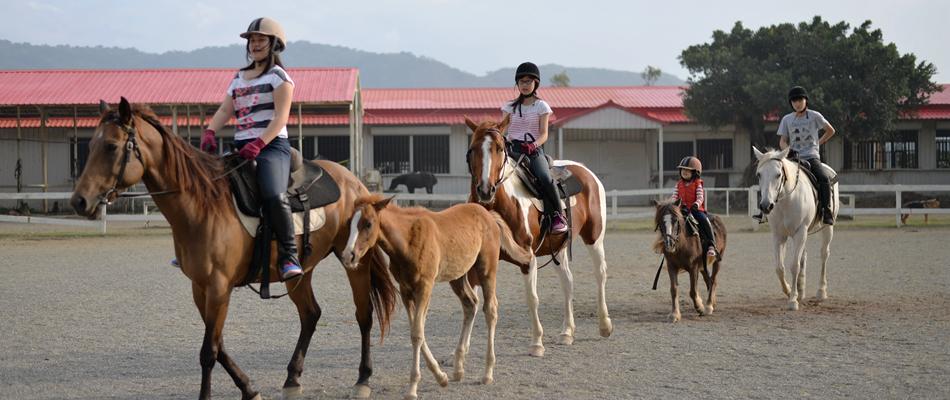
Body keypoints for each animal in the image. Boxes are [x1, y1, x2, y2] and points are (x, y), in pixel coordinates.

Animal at [70, 97, 396, 400]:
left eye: (111, 146)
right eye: (90, 146)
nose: (79, 201)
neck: (202, 204)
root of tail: (355, 183)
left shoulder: (218, 287)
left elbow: (208, 352)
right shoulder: (201, 288)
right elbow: (218, 344)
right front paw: (249, 388)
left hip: (355, 261)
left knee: (363, 314)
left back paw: (363, 379)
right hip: (301, 271)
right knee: (311, 314)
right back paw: (292, 378)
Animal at [342, 195, 536, 400]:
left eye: (368, 223)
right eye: (349, 223)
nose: (348, 256)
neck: (408, 239)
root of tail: (488, 215)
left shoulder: (425, 286)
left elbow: (417, 334)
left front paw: (412, 388)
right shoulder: (405, 290)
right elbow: (417, 330)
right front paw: (441, 377)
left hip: (487, 270)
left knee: (490, 310)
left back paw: (487, 373)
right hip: (458, 275)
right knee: (470, 305)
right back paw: (458, 369)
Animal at [464, 115, 612, 356]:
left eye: (499, 149)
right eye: (472, 149)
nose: (485, 190)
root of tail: (586, 172)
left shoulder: (528, 260)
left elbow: (532, 298)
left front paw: (536, 343)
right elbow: (472, 301)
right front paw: (460, 353)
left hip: (594, 238)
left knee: (600, 274)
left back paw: (605, 325)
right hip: (558, 248)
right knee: (567, 282)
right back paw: (567, 332)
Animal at [756, 146, 836, 310]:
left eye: (778, 174)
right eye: (759, 174)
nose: (766, 205)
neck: (787, 200)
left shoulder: (800, 232)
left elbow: (794, 265)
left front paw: (793, 300)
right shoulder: (778, 235)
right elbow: (779, 267)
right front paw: (789, 291)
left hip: (826, 229)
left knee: (824, 254)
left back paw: (821, 291)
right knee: (803, 256)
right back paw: (801, 290)